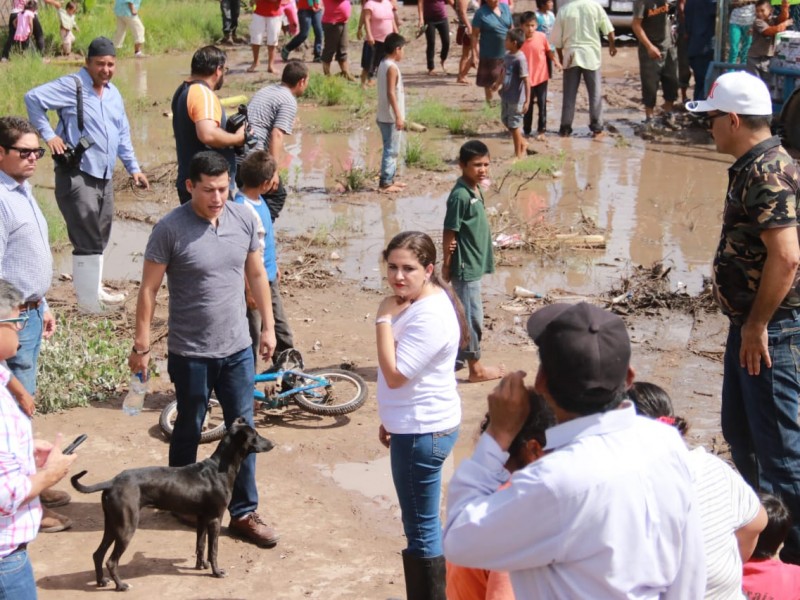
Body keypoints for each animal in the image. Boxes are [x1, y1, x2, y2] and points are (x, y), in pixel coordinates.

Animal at [72, 418, 272, 592]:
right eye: (256, 435)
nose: (273, 444)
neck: (219, 468)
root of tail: (112, 482)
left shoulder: (202, 518)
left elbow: (200, 545)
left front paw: (201, 565)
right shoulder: (215, 518)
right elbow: (213, 549)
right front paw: (216, 572)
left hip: (112, 524)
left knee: (97, 554)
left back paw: (101, 581)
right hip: (126, 527)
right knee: (111, 561)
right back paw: (121, 586)